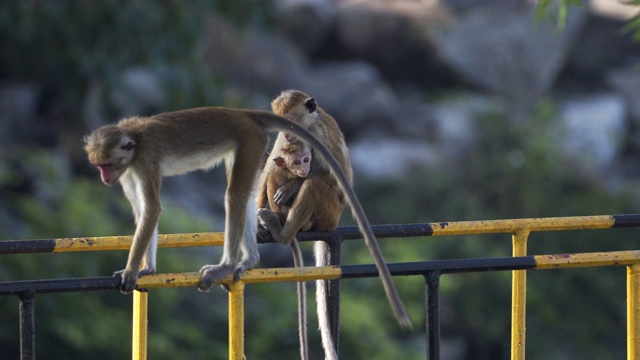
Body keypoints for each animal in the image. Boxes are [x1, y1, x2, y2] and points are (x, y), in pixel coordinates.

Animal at [258, 90, 412, 360]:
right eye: (282, 124)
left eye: (292, 121)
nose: (287, 134)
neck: (309, 126)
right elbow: (269, 168)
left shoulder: (323, 133)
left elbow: (335, 176)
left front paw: (292, 187)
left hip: (329, 213)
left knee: (316, 183)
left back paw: (283, 230)